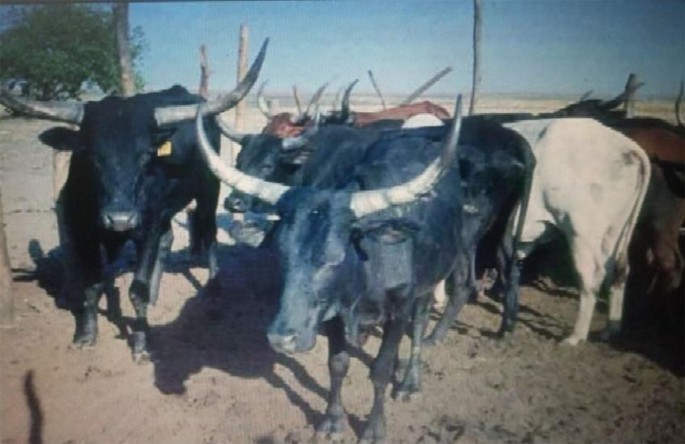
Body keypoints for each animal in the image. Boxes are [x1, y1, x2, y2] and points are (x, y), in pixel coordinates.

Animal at [0, 39, 269, 360]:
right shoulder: (84, 232)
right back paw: (155, 294)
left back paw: (214, 287)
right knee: (167, 239)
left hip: (208, 192)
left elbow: (135, 289)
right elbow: (91, 284)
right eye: (90, 155)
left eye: (145, 155)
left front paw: (141, 343)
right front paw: (86, 334)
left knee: (209, 233)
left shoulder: (145, 227)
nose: (120, 219)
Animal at [197, 96, 534, 441]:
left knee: (432, 312)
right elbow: (338, 363)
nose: (282, 339)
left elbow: (380, 370)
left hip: (452, 256)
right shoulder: (332, 313)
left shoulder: (399, 310)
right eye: (282, 254)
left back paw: (412, 375)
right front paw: (333, 421)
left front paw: (374, 427)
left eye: (335, 256)